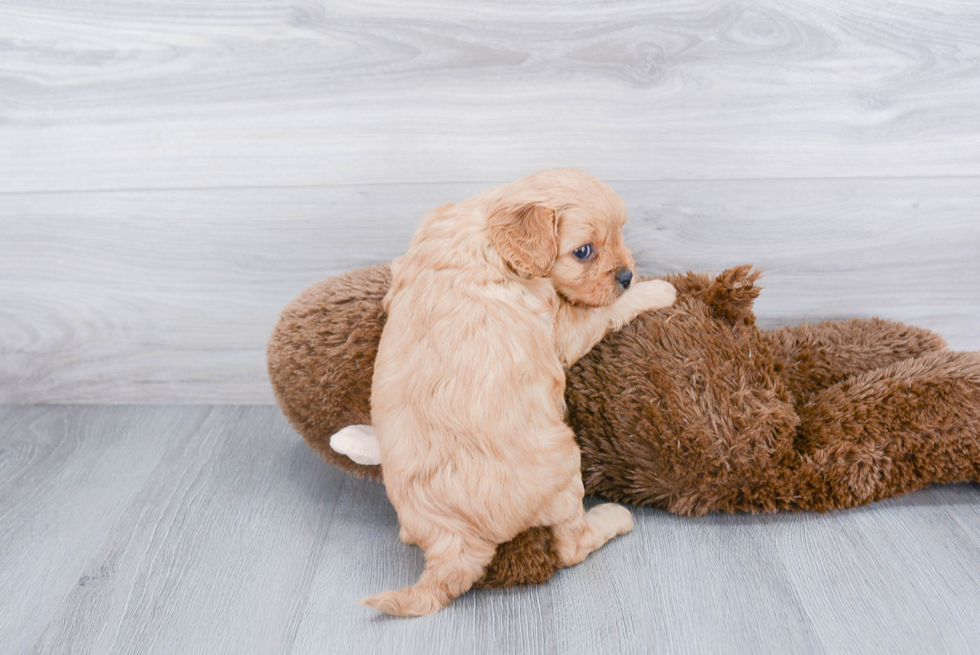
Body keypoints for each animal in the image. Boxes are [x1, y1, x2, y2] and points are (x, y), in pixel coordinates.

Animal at [360, 168, 672, 616]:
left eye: (620, 233)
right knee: (570, 546)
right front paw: (659, 289)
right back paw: (612, 519)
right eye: (583, 251)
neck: (488, 228)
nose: (627, 275)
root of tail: (453, 543)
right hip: (565, 467)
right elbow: (605, 311)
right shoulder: (561, 327)